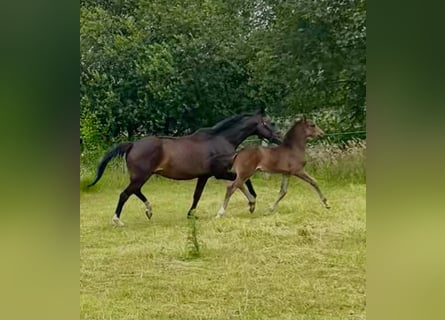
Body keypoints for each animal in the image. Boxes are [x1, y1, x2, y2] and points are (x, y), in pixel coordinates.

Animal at [88, 109, 280, 226]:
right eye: (269, 123)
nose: (279, 136)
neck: (220, 139)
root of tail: (132, 145)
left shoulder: (204, 175)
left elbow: (197, 195)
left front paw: (191, 214)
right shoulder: (218, 173)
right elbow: (242, 181)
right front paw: (252, 202)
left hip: (140, 177)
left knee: (135, 191)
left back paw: (149, 211)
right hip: (141, 176)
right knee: (125, 194)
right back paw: (118, 220)